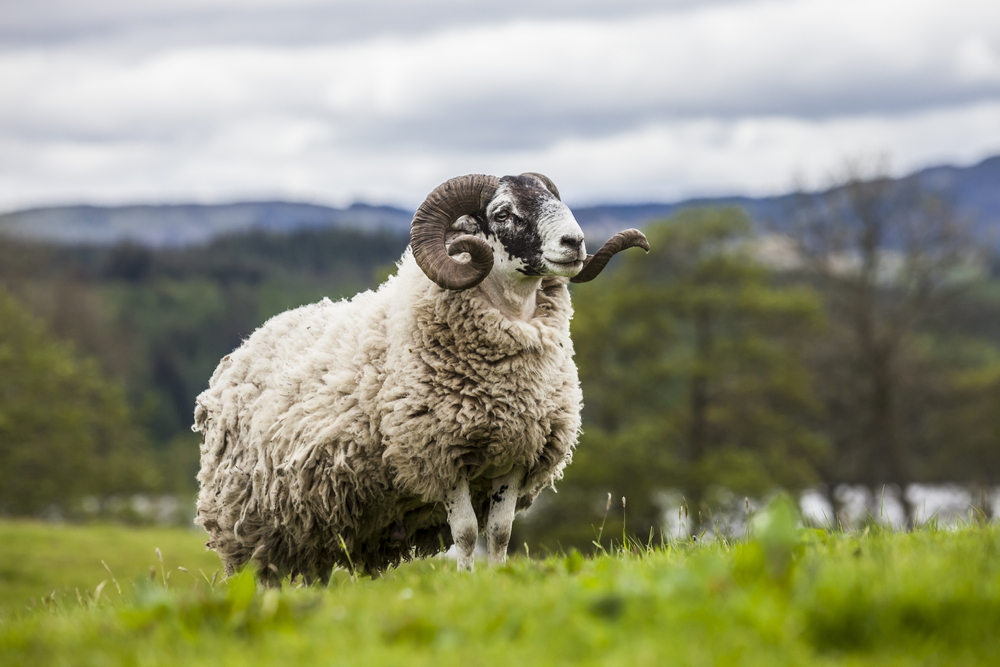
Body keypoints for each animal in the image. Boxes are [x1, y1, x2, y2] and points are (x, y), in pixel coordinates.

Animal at [194, 171, 648, 580]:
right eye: (503, 213)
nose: (575, 243)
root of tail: (249, 340)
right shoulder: (438, 455)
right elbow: (466, 532)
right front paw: (466, 582)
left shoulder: (516, 456)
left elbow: (499, 533)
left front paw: (497, 579)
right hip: (251, 523)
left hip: (317, 523)